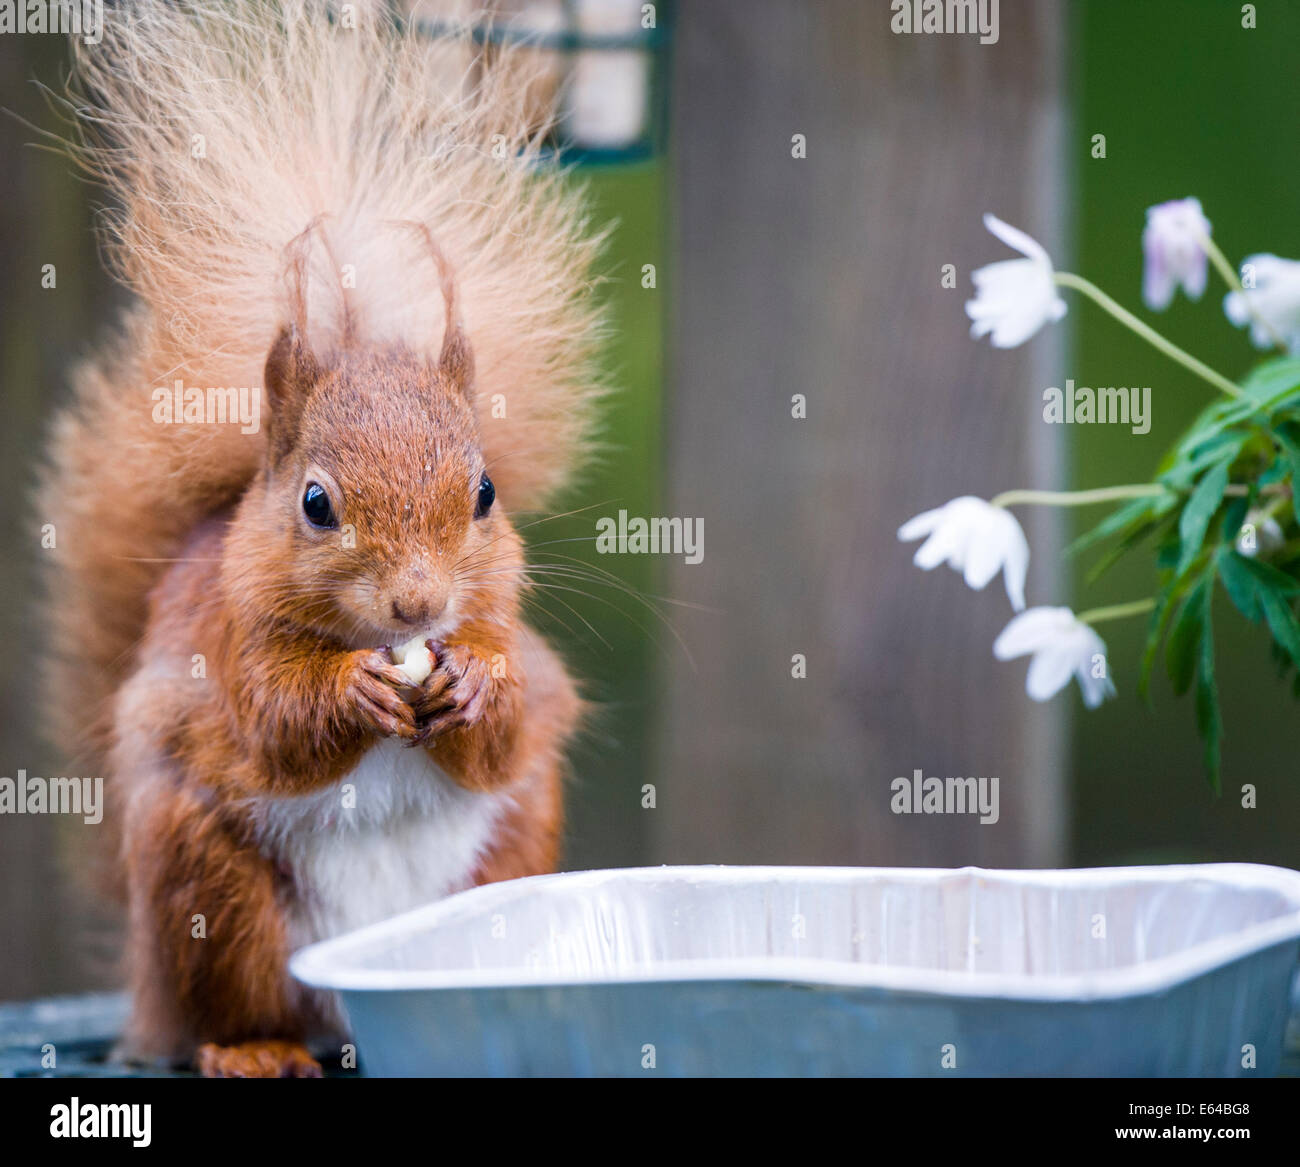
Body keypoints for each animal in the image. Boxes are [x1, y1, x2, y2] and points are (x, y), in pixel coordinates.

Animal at [39, 0, 603, 1070]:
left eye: (484, 492)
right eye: (313, 504)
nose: (418, 604)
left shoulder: (511, 638)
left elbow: (507, 726)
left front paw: (476, 682)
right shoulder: (225, 644)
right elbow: (276, 721)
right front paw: (351, 692)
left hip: (514, 850)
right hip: (207, 889)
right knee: (238, 1007)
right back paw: (253, 1046)